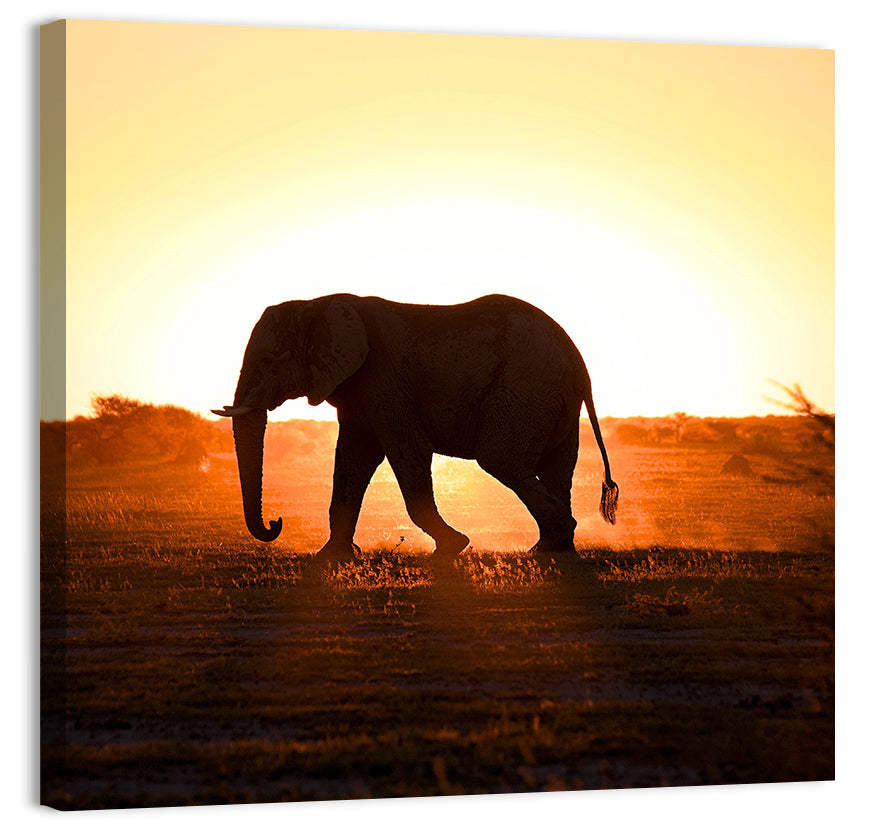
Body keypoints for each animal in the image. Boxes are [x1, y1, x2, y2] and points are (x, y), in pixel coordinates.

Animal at [212, 293, 618, 567]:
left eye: (268, 360)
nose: (276, 521)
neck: (318, 304)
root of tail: (580, 363)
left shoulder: (385, 381)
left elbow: (406, 452)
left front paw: (453, 547)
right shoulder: (359, 390)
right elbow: (352, 461)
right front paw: (331, 557)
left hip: (526, 386)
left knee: (502, 461)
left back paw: (554, 541)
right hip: (551, 397)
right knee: (556, 470)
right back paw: (553, 549)